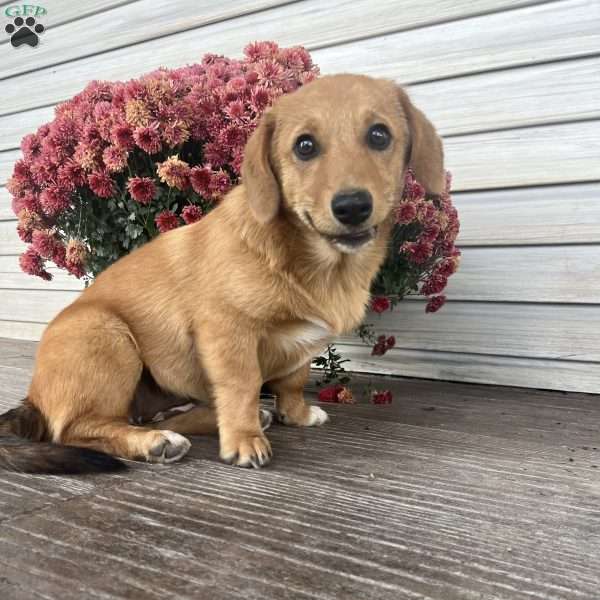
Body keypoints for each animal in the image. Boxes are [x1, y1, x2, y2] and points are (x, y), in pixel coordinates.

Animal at [1, 72, 446, 472]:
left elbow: (292, 381)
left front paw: (296, 414)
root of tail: (33, 397)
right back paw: (154, 442)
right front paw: (244, 440)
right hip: (106, 335)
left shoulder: (300, 347)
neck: (316, 262)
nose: (352, 206)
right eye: (304, 146)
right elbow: (243, 387)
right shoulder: (228, 333)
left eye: (379, 135)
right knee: (81, 428)